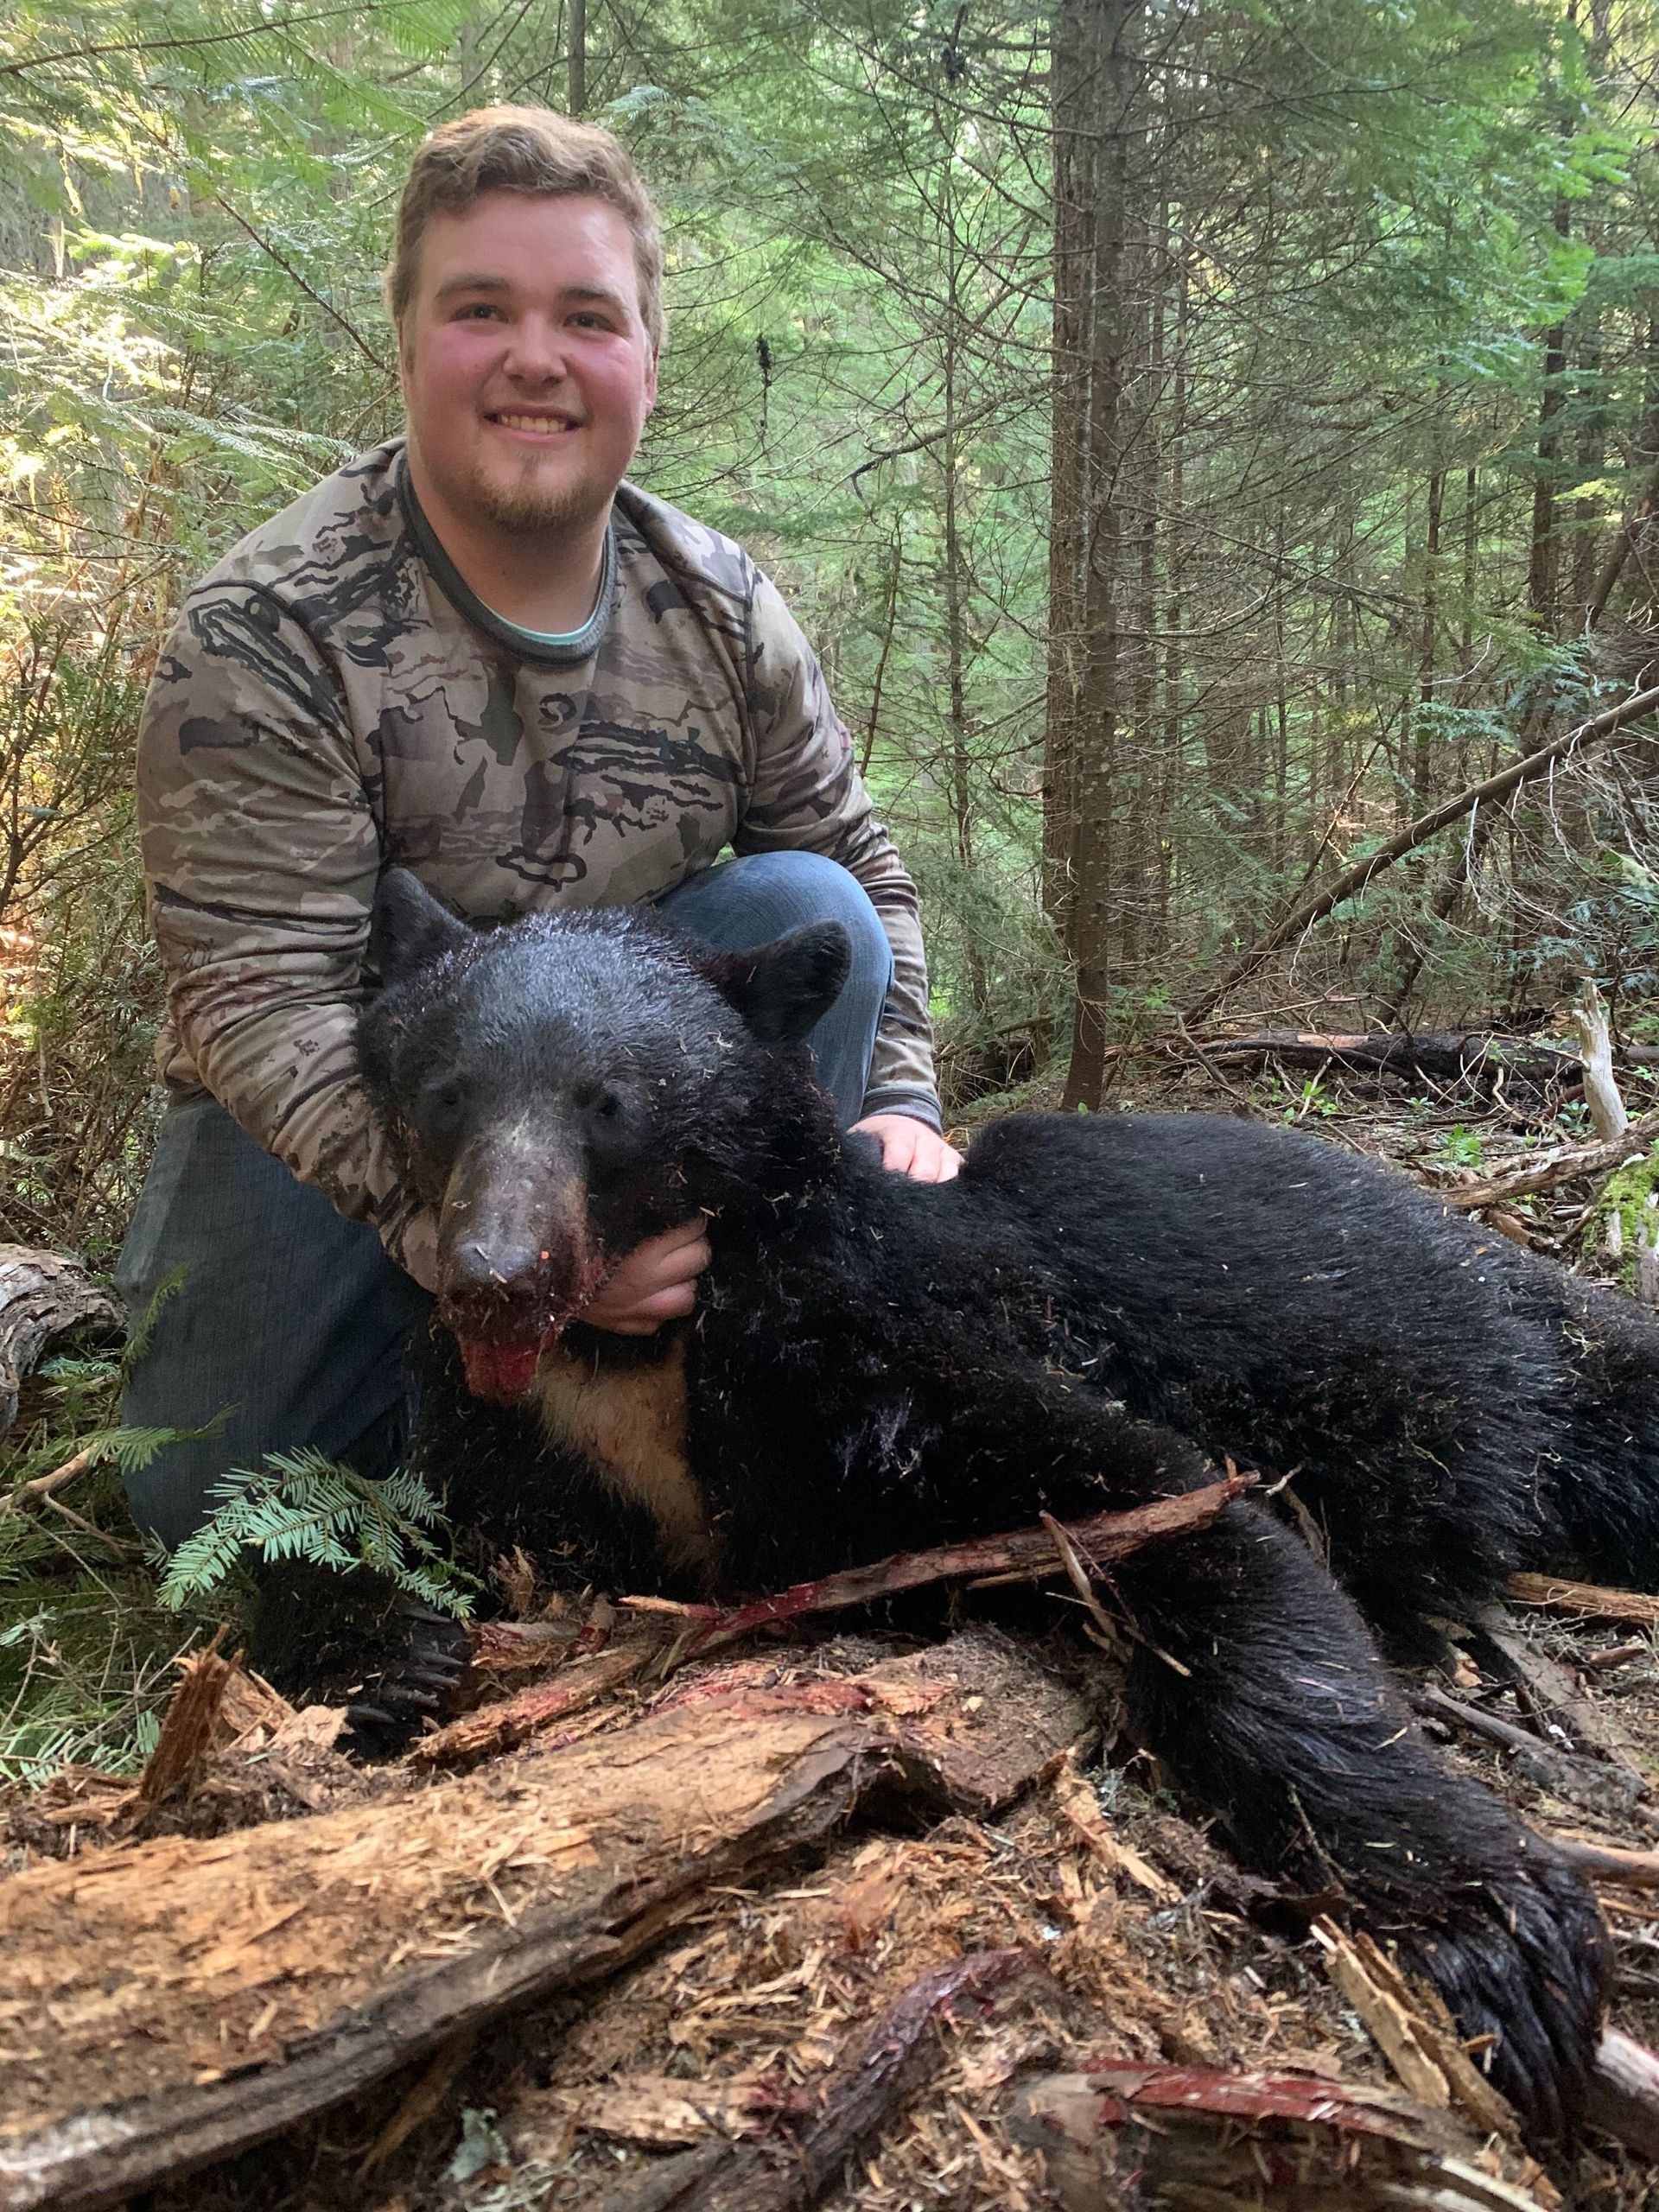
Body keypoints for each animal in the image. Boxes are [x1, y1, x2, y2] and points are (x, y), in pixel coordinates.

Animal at [273, 865, 1659, 2136]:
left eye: (609, 1104)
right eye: (446, 1094)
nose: (494, 1278)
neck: (634, 1360)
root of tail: (1468, 1234)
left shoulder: (877, 1350)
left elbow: (1181, 1514)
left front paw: (1493, 1923)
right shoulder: (536, 1445)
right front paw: (395, 1662)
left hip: (1494, 1355)